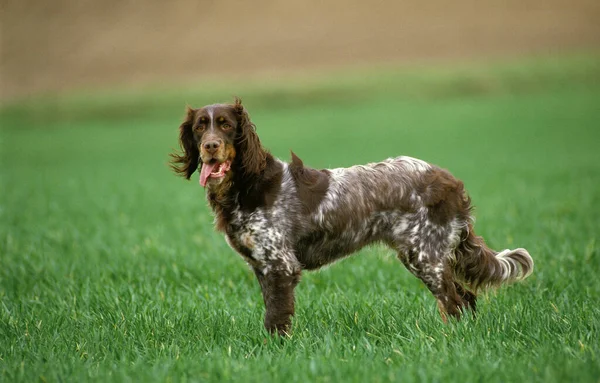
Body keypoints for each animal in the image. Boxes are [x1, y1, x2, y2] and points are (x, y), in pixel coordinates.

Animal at [170, 98, 536, 336]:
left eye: (226, 125)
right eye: (201, 126)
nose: (210, 146)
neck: (245, 185)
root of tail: (449, 181)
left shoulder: (280, 265)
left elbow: (276, 317)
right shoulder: (262, 266)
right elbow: (272, 313)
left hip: (424, 256)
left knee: (455, 301)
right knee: (465, 299)